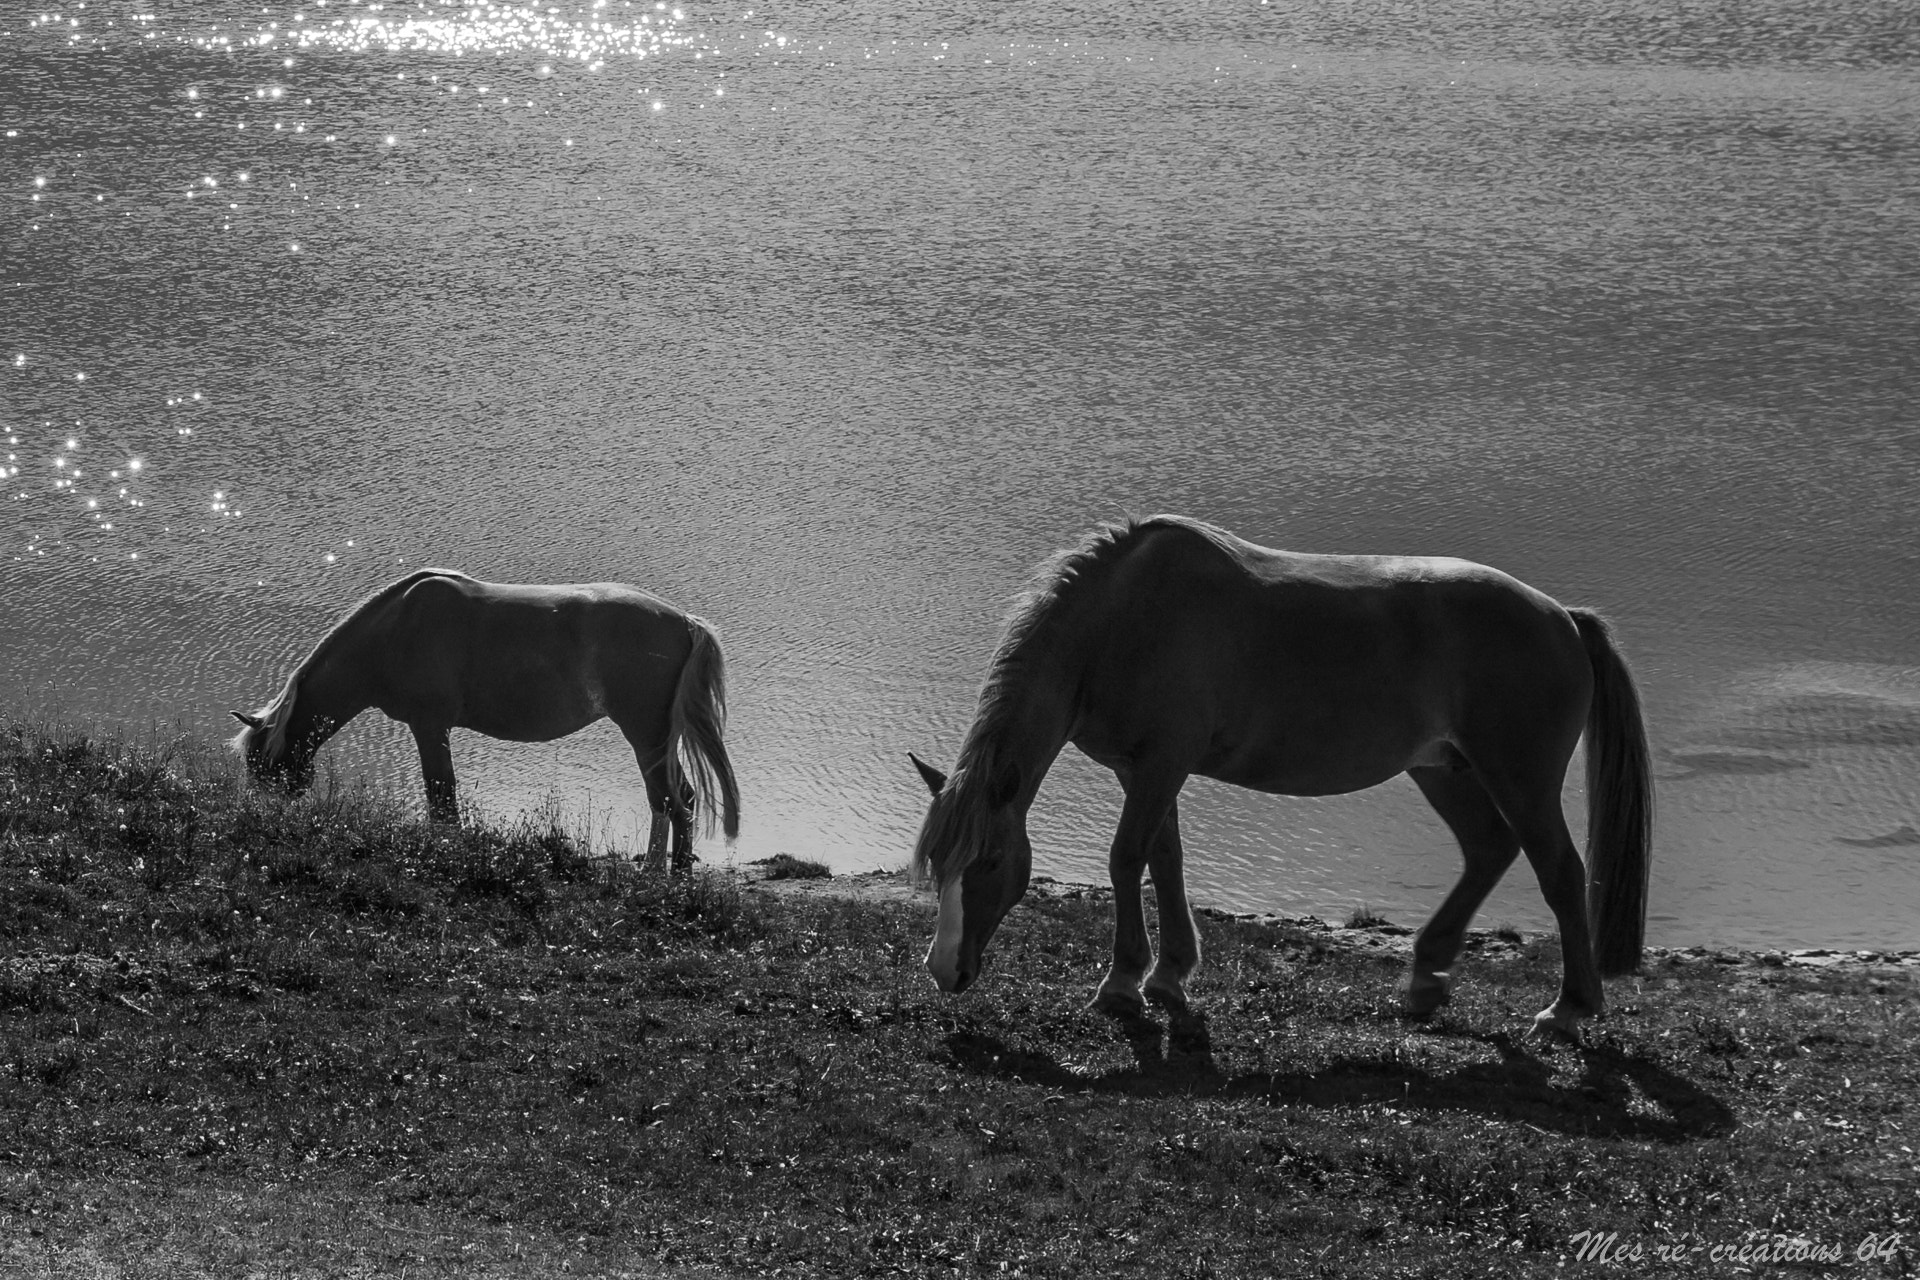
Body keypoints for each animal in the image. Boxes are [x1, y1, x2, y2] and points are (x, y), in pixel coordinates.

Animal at [231, 569, 740, 871]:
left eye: (262, 766)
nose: (268, 822)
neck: (394, 630)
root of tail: (685, 622)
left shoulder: (429, 727)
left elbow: (441, 796)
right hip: (659, 738)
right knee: (681, 799)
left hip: (646, 735)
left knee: (669, 800)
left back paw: (657, 874)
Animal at [909, 515, 1652, 1036]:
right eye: (938, 865)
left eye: (988, 861)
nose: (945, 970)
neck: (1123, 619)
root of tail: (1563, 619)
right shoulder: (1144, 771)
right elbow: (1164, 860)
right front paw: (1168, 976)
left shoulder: (1161, 764)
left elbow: (1125, 860)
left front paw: (1121, 985)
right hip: (1444, 770)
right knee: (1488, 850)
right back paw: (1426, 981)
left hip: (1519, 777)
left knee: (1560, 872)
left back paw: (1568, 1008)